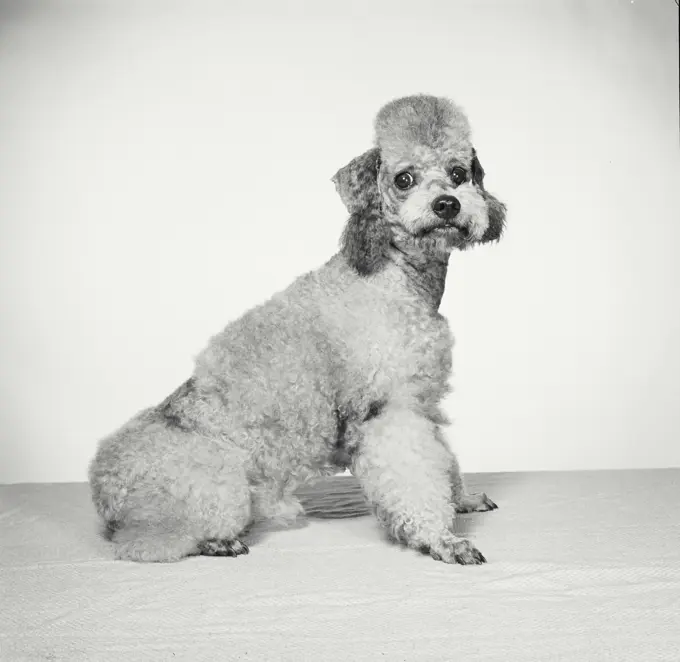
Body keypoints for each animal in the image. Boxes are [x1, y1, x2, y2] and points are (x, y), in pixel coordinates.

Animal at [89, 96, 504, 568]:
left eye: (458, 173)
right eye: (404, 179)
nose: (447, 205)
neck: (393, 276)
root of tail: (103, 492)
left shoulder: (420, 400)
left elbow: (444, 460)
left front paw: (463, 500)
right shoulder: (389, 410)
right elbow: (415, 476)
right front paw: (440, 539)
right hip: (218, 486)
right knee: (146, 541)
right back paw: (216, 541)